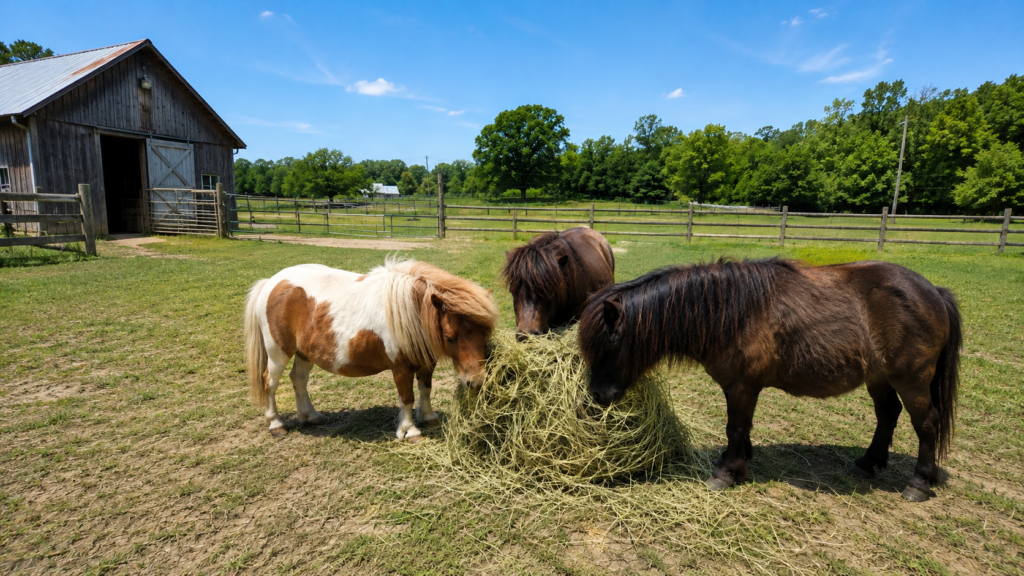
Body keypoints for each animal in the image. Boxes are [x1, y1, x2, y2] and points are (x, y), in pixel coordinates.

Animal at [244, 258, 498, 440]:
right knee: (270, 383)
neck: (410, 312)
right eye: (449, 337)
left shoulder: (426, 362)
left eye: (485, 333)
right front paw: (410, 431)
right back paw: (275, 424)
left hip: (304, 353)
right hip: (278, 352)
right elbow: (407, 397)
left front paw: (428, 416)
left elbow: (426, 389)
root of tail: (272, 282)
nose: (476, 382)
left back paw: (311, 416)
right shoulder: (401, 368)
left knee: (298, 379)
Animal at [578, 258, 961, 502]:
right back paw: (868, 463)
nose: (596, 396)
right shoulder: (740, 387)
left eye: (610, 343)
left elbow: (735, 427)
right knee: (887, 415)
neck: (729, 311)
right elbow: (741, 427)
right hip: (879, 377)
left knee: (926, 423)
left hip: (911, 380)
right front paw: (736, 461)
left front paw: (726, 473)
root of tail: (934, 291)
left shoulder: (742, 386)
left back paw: (919, 483)